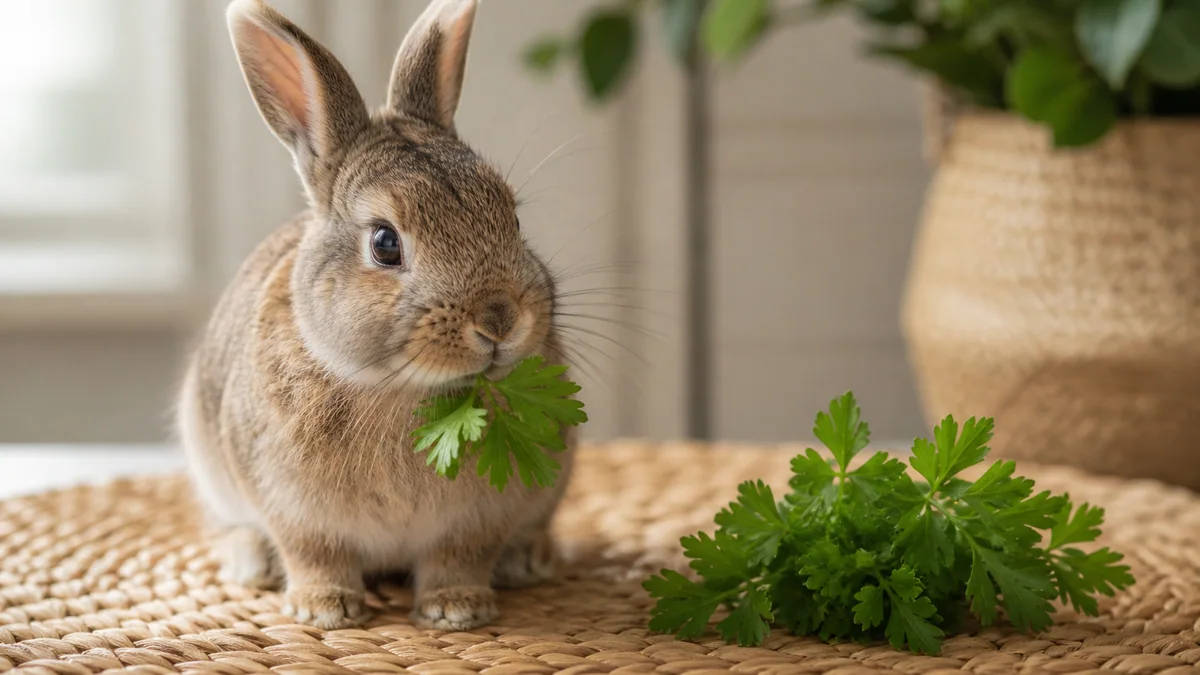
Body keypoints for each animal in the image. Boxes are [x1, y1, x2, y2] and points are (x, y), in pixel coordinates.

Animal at [176, 0, 578, 631]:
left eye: (512, 217)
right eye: (385, 244)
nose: (499, 321)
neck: (402, 390)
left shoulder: (479, 518)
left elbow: (460, 557)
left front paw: (457, 609)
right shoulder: (295, 511)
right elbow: (315, 555)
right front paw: (324, 609)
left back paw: (528, 559)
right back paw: (252, 563)